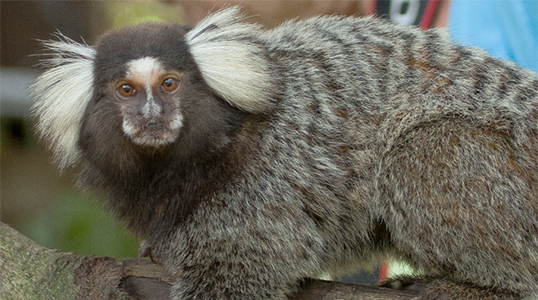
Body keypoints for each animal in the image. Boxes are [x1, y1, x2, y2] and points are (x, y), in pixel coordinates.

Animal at [30, 5, 536, 300]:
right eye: (126, 90)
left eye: (169, 84)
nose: (152, 114)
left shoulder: (262, 187)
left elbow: (240, 275)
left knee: (420, 151)